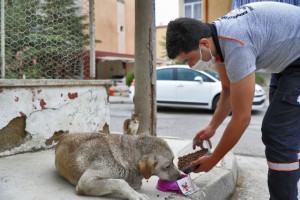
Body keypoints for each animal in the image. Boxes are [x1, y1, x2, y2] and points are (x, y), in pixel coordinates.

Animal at [54, 133, 182, 200]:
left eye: (173, 160)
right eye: (167, 166)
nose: (180, 177)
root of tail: (62, 136)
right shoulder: (85, 182)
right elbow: (120, 182)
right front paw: (135, 194)